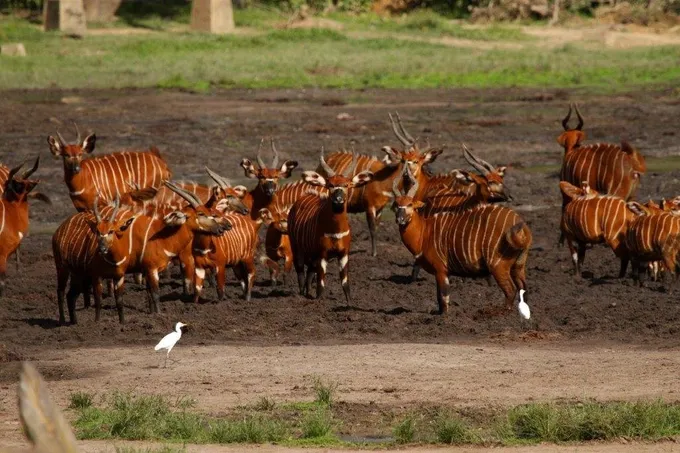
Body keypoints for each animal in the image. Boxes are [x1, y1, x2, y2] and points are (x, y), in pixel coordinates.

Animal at [288, 149, 373, 302]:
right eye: (330, 185)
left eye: (346, 185)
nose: (338, 199)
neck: (335, 231)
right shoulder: (322, 254)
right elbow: (321, 284)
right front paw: (318, 301)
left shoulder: (343, 254)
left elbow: (345, 283)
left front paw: (349, 303)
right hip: (296, 246)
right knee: (300, 271)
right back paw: (301, 295)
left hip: (312, 255)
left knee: (309, 272)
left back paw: (307, 293)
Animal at [392, 165, 531, 316]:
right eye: (397, 204)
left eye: (410, 204)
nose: (400, 219)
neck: (424, 231)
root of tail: (521, 224)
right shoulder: (441, 272)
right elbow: (439, 298)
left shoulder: (441, 270)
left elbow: (443, 298)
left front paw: (444, 318)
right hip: (518, 265)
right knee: (523, 288)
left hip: (498, 266)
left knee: (510, 290)